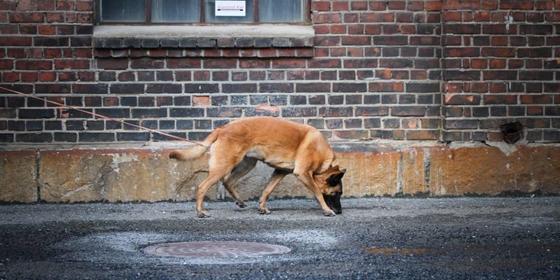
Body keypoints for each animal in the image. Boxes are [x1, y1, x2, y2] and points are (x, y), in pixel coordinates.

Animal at [170, 117, 346, 218]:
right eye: (336, 194)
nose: (340, 211)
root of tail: (222, 128)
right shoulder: (302, 173)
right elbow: (318, 193)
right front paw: (327, 210)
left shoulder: (280, 172)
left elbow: (267, 190)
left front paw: (262, 206)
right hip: (224, 166)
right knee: (202, 186)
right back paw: (200, 211)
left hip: (246, 164)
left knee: (228, 181)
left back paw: (240, 201)